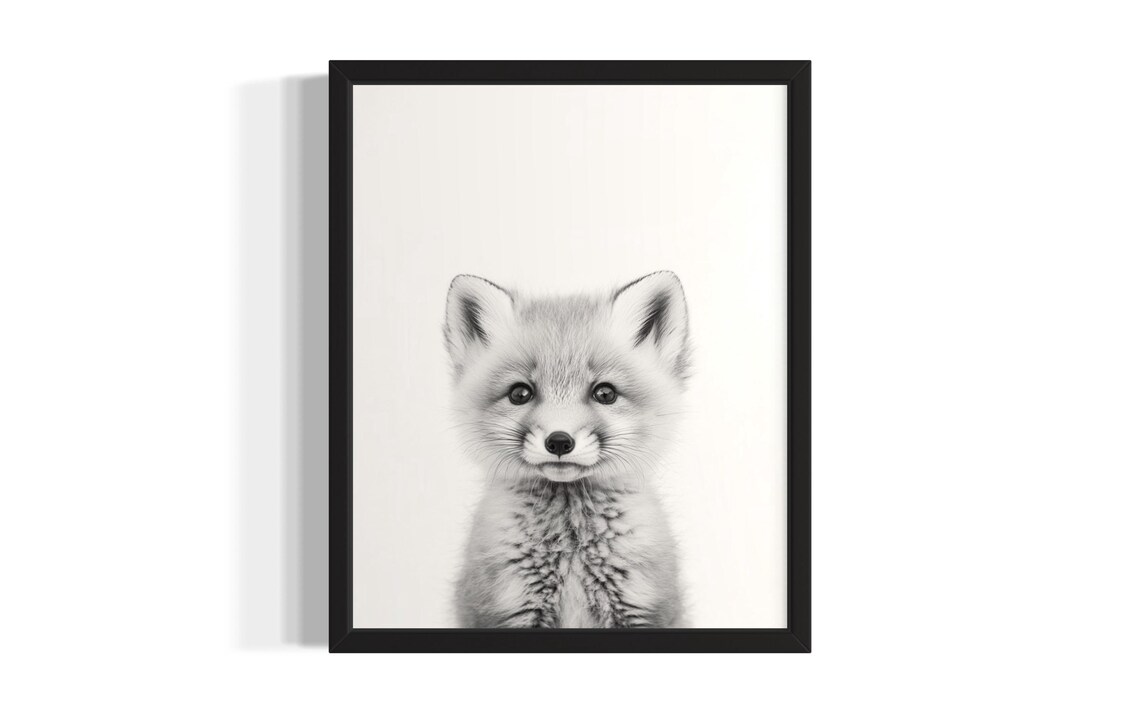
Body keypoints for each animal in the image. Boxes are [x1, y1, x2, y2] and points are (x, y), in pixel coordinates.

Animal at [444, 271, 691, 628]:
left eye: (605, 393)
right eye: (520, 393)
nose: (559, 441)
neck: (571, 544)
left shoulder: (642, 607)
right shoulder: (509, 608)